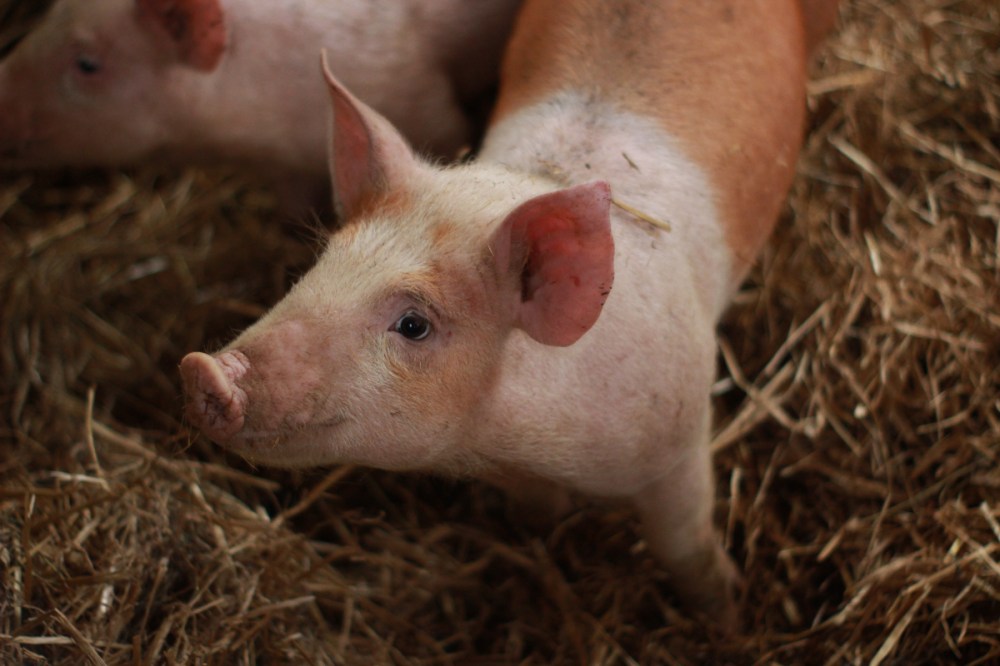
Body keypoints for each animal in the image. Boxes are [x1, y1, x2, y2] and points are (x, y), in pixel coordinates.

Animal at [181, 0, 838, 629]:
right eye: (321, 264)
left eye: (414, 324)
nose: (202, 371)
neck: (529, 442)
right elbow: (536, 511)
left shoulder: (681, 437)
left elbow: (687, 548)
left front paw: (729, 618)